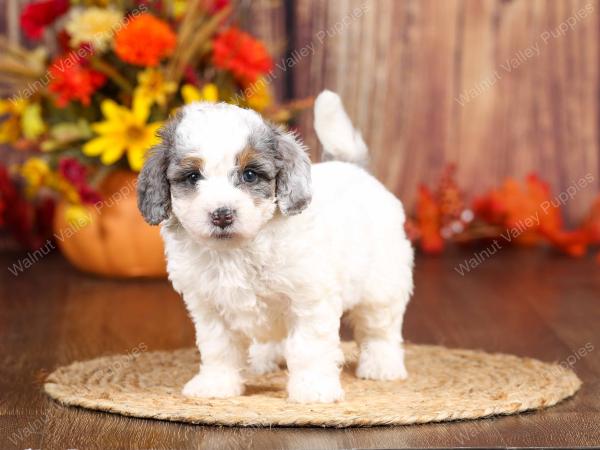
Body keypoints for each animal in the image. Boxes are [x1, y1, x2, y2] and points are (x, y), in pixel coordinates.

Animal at [138, 89, 414, 402]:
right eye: (193, 176)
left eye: (249, 174)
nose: (222, 214)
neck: (236, 252)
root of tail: (353, 168)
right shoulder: (209, 306)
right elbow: (218, 348)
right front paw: (216, 384)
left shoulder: (309, 300)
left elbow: (309, 347)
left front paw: (312, 388)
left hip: (382, 285)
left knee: (380, 328)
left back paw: (382, 364)